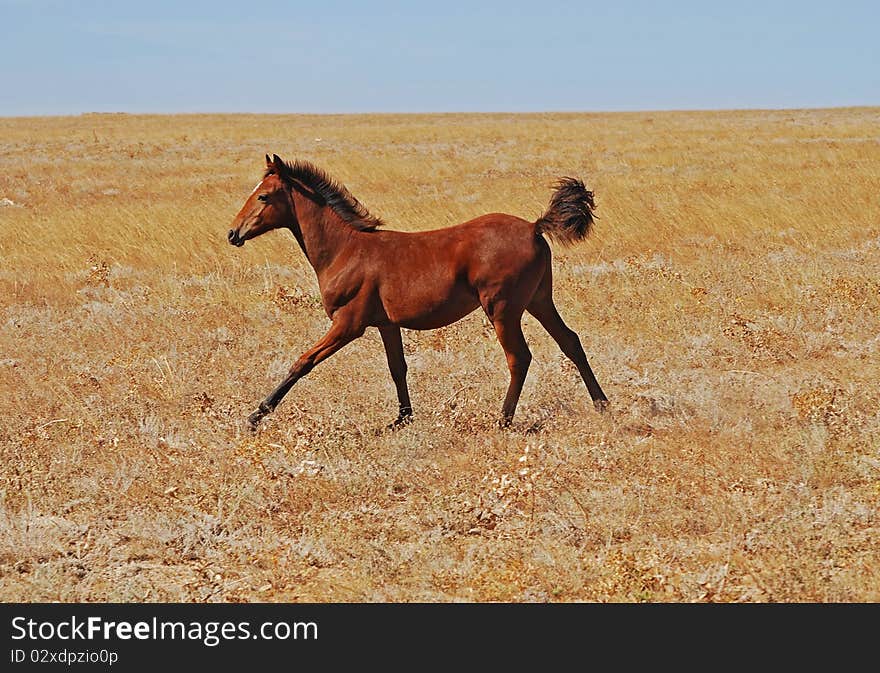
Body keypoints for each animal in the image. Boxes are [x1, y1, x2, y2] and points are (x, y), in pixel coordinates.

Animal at [230, 154, 608, 430]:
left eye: (263, 195)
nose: (233, 233)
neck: (345, 249)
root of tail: (533, 227)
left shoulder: (348, 324)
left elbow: (303, 361)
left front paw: (256, 414)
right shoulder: (386, 324)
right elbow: (397, 367)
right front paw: (402, 419)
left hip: (502, 309)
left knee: (519, 357)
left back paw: (503, 419)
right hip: (539, 300)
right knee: (570, 341)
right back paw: (602, 404)